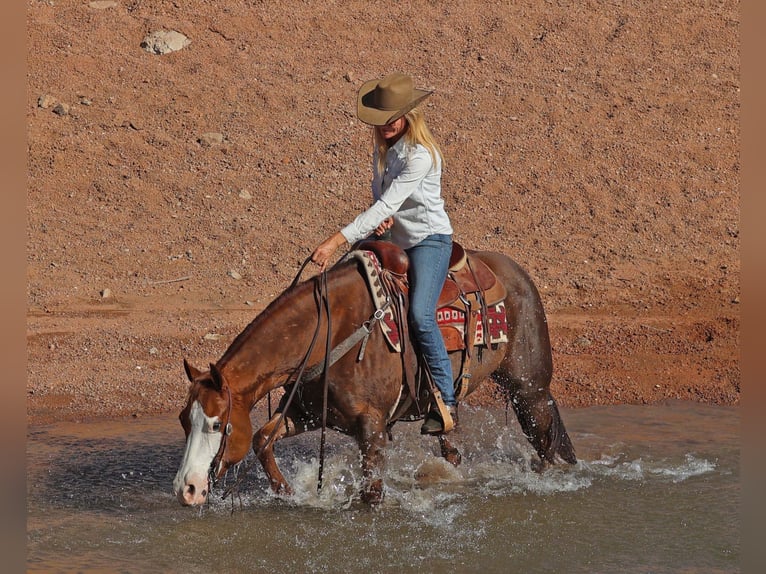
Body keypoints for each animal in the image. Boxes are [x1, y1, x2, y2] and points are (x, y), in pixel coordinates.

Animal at [172, 250, 576, 506]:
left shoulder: (373, 428)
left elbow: (371, 494)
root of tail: (514, 273)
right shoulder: (308, 413)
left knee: (545, 441)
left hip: (530, 389)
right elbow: (261, 439)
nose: (186, 488)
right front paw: (286, 492)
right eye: (183, 421)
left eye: (216, 424)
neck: (326, 334)